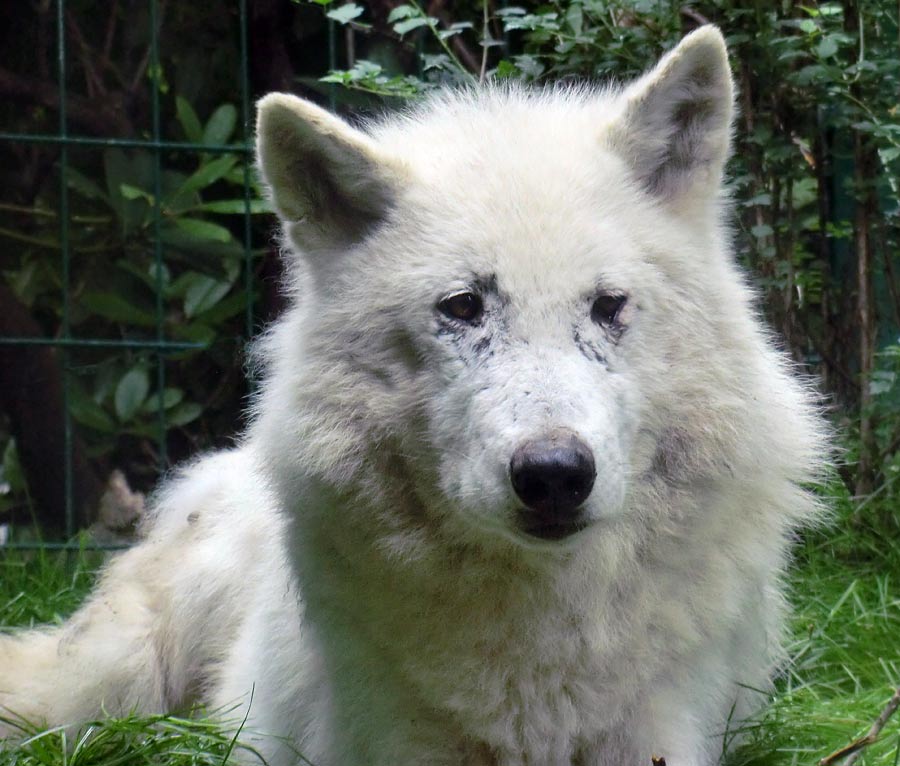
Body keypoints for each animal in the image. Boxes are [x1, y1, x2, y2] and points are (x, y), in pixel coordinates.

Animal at [0, 27, 824, 764]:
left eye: (608, 306)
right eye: (462, 307)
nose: (555, 474)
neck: (540, 652)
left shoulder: (662, 726)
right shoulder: (396, 735)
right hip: (124, 676)